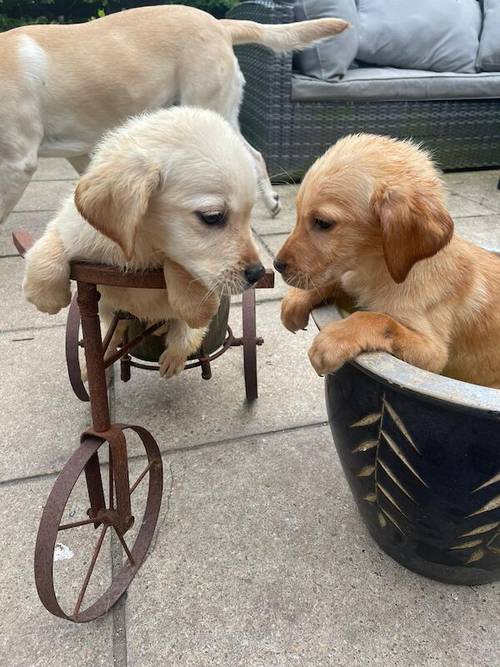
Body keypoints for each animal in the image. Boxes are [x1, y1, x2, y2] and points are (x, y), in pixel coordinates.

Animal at [0, 4, 348, 224]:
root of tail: (218, 24)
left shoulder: (17, 163)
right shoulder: (79, 152)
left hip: (206, 107)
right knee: (255, 154)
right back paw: (271, 201)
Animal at [23, 110, 266, 380]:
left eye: (249, 215)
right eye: (212, 216)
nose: (258, 273)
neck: (141, 246)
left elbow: (181, 269)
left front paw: (194, 304)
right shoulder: (72, 224)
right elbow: (49, 243)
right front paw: (45, 295)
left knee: (189, 332)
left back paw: (174, 354)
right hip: (105, 305)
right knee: (115, 330)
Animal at [276, 133, 500, 388]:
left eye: (323, 223)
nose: (276, 265)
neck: (378, 270)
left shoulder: (433, 353)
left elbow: (380, 319)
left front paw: (334, 338)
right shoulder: (353, 283)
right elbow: (337, 281)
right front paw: (296, 300)